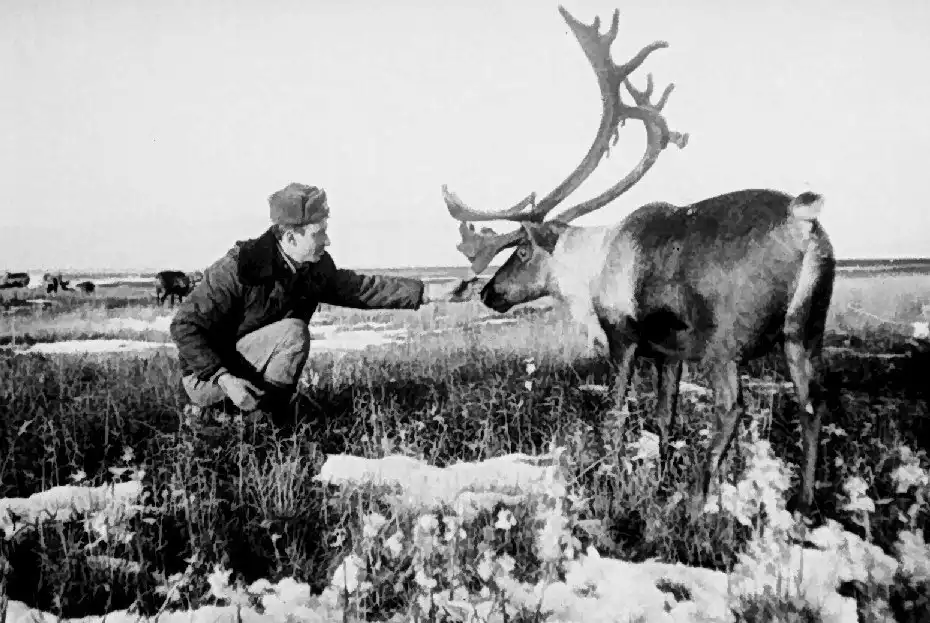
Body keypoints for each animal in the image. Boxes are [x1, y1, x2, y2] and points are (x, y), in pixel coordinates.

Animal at [441, 5, 835, 518]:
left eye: (521, 251)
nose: (489, 292)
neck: (589, 269)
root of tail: (803, 219)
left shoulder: (623, 336)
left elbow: (616, 413)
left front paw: (614, 480)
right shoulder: (669, 353)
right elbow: (663, 417)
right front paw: (660, 478)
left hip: (725, 341)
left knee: (731, 407)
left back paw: (696, 502)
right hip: (806, 330)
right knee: (814, 403)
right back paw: (804, 501)